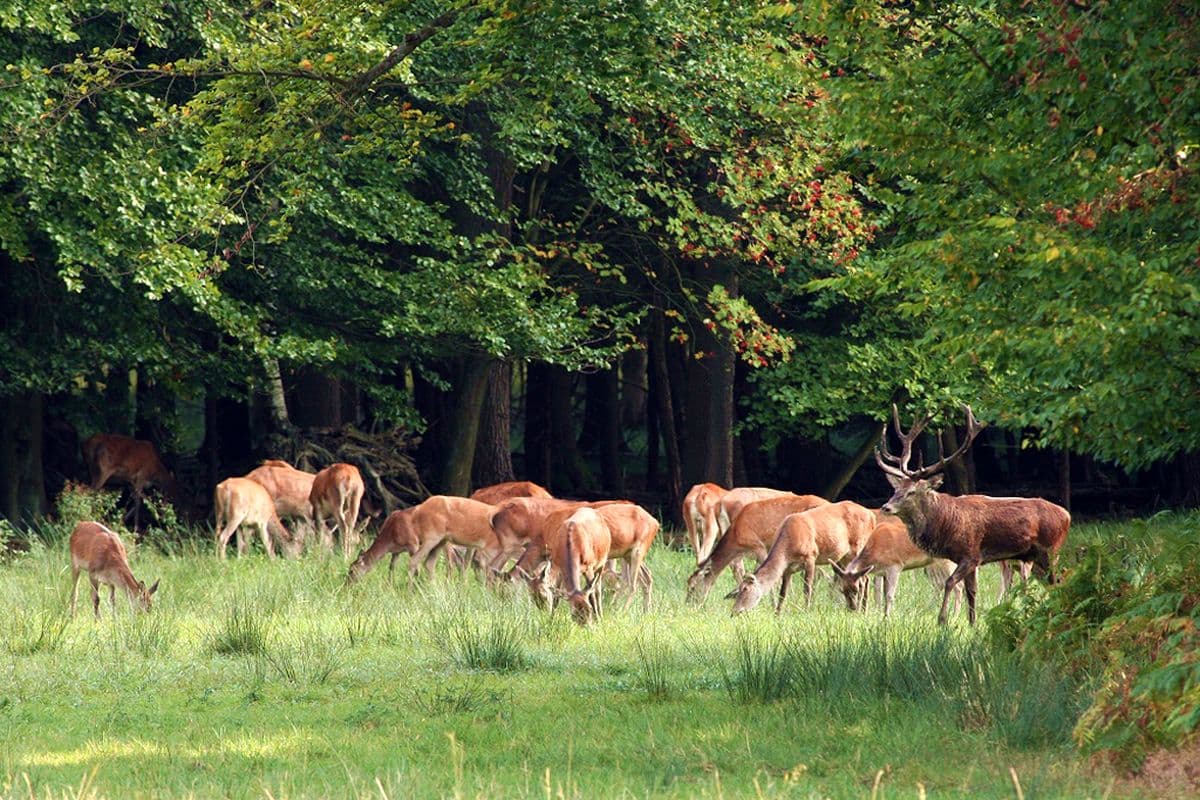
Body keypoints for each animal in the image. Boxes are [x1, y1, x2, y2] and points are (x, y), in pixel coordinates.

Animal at [830, 513, 960, 618]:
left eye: (857, 589)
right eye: (842, 590)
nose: (851, 608)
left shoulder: (895, 566)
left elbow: (889, 595)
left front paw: (887, 617)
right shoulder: (883, 572)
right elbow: (883, 593)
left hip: (946, 562)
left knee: (957, 586)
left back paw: (954, 616)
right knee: (943, 584)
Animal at [873, 407, 1070, 623]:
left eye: (912, 492)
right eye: (897, 489)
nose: (886, 507)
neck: (946, 523)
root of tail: (1067, 515)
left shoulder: (970, 554)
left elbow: (950, 583)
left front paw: (943, 620)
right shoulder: (970, 560)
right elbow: (972, 592)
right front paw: (971, 624)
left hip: (1051, 549)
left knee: (1058, 581)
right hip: (1033, 557)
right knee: (1053, 583)